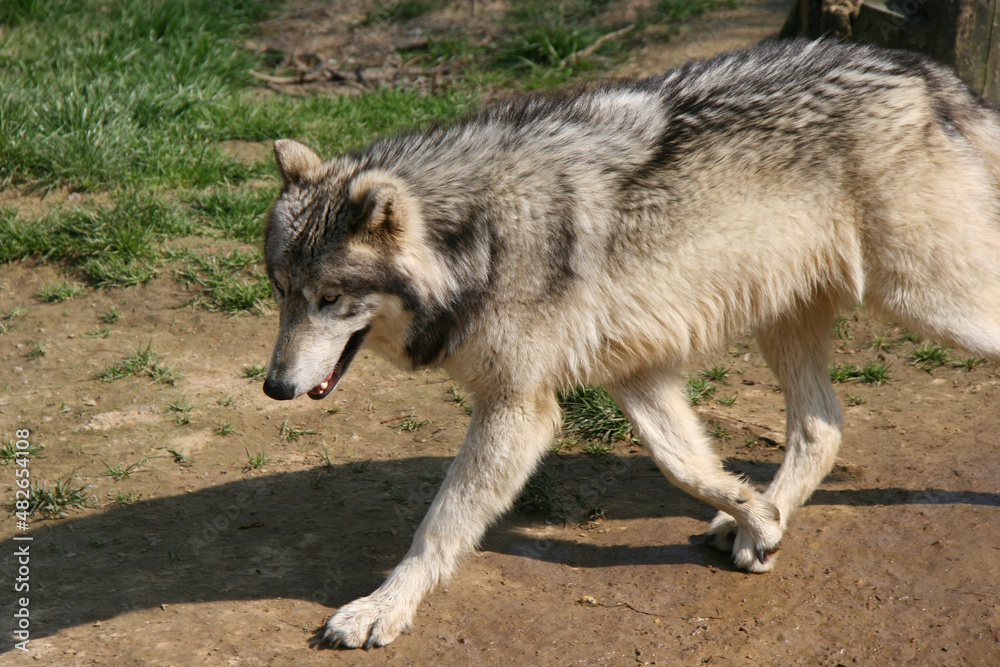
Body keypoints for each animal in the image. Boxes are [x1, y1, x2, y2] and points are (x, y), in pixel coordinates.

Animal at [262, 38, 1000, 648]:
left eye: (330, 298)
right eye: (282, 291)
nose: (274, 386)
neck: (480, 237)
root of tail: (927, 72)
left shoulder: (519, 408)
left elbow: (438, 524)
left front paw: (383, 607)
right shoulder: (636, 372)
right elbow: (685, 465)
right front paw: (758, 519)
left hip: (925, 301)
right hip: (787, 317)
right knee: (824, 426)